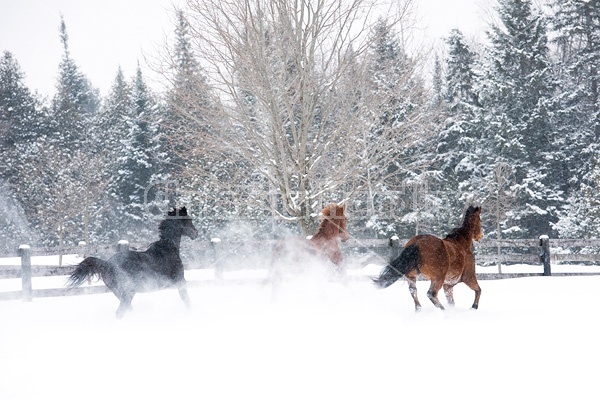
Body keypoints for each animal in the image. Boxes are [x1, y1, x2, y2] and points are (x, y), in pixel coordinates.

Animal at [67, 208, 199, 318]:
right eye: (189, 220)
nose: (196, 233)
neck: (167, 249)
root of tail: (107, 265)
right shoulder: (180, 282)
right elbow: (187, 301)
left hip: (121, 293)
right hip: (127, 292)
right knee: (120, 312)